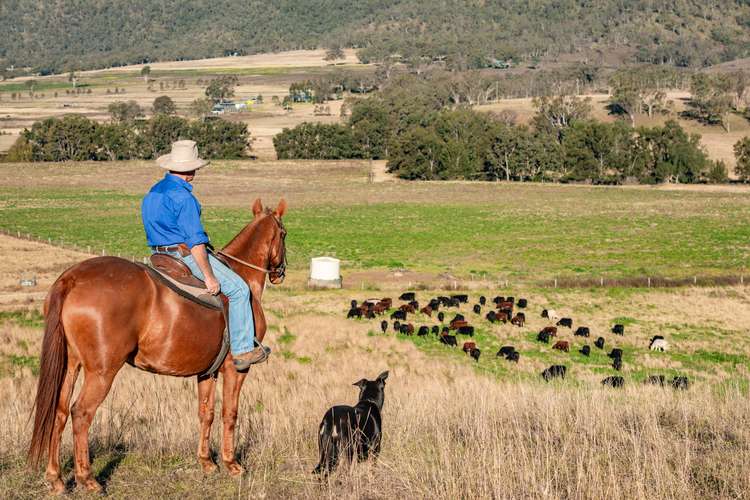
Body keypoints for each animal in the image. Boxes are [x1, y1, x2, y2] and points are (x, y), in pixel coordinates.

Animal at [26, 198, 288, 492]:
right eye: (284, 234)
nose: (280, 273)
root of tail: (71, 278)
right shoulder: (237, 368)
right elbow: (229, 413)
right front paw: (232, 465)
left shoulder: (207, 372)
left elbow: (206, 413)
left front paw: (206, 462)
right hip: (102, 372)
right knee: (81, 413)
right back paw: (88, 479)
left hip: (71, 365)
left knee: (59, 412)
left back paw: (56, 478)